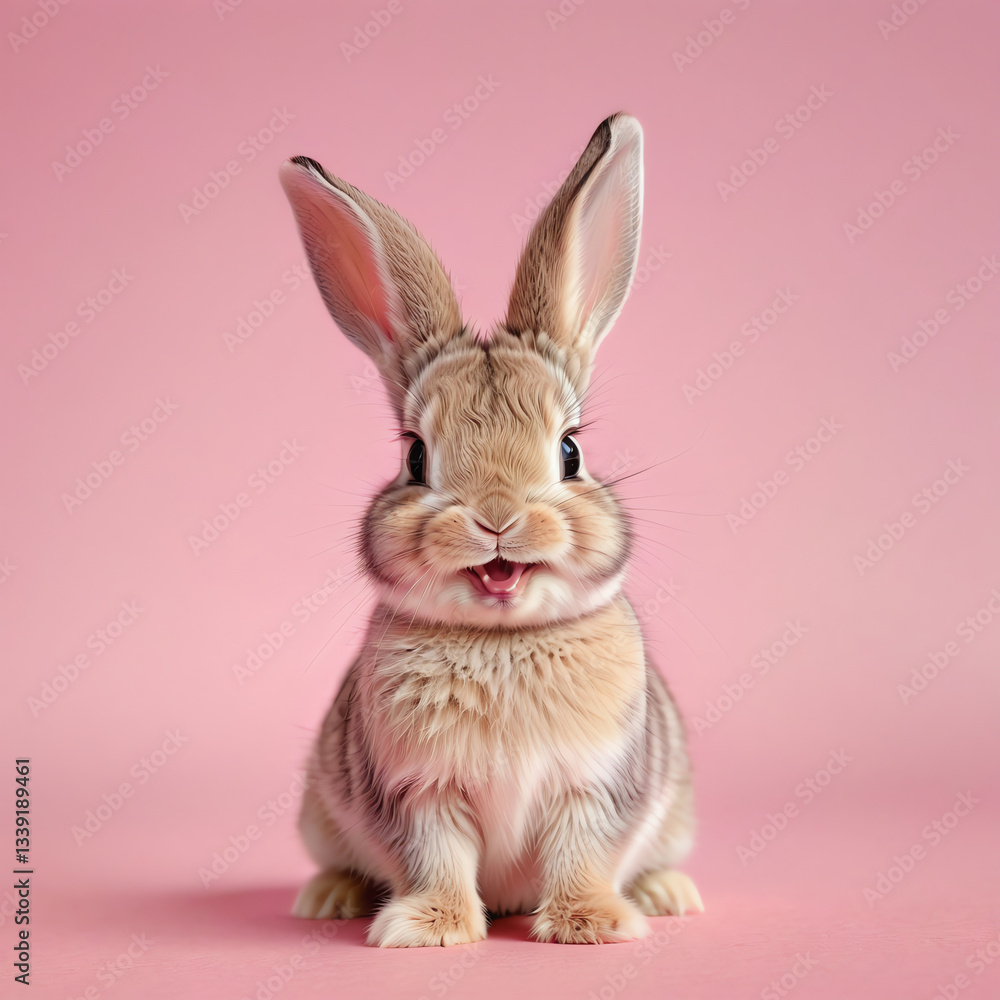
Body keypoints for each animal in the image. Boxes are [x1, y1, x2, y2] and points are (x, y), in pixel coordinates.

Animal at [278, 112, 702, 947]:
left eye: (571, 451)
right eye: (415, 457)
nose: (498, 517)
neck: (502, 639)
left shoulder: (590, 787)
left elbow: (580, 854)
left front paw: (595, 924)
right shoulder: (421, 791)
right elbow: (438, 857)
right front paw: (426, 929)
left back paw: (668, 894)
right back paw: (330, 898)